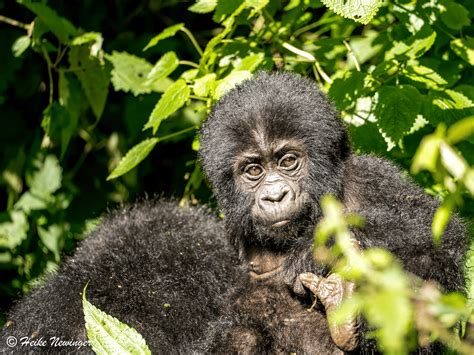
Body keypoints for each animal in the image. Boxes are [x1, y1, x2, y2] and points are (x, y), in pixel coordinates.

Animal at [197, 71, 466, 354]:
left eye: (288, 161)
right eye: (253, 170)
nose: (275, 196)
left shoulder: (371, 176)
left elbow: (436, 243)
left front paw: (320, 246)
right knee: (242, 334)